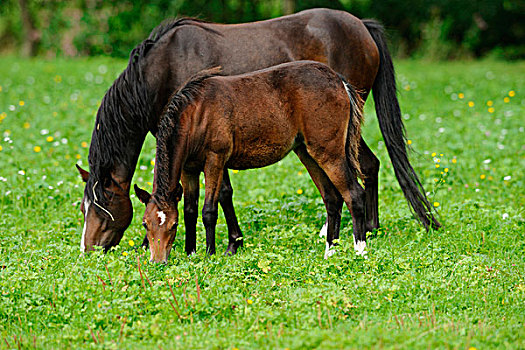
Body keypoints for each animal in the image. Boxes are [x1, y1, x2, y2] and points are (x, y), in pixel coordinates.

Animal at [135, 60, 364, 262]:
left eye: (173, 225)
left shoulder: (215, 160)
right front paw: (190, 254)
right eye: (145, 224)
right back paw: (329, 253)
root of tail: (339, 80)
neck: (197, 114)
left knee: (354, 194)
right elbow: (190, 211)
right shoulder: (189, 169)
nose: (157, 262)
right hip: (307, 153)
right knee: (332, 199)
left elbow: (208, 210)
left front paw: (210, 255)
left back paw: (360, 252)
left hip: (329, 153)